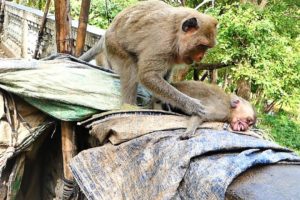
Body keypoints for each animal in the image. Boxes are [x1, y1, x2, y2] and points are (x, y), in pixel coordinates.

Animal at [78, 0, 217, 115]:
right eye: (201, 46)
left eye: (207, 47)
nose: (200, 57)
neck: (176, 33)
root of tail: (108, 30)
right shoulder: (162, 43)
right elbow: (147, 76)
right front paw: (191, 105)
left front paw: (164, 101)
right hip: (114, 45)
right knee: (131, 71)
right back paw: (129, 106)